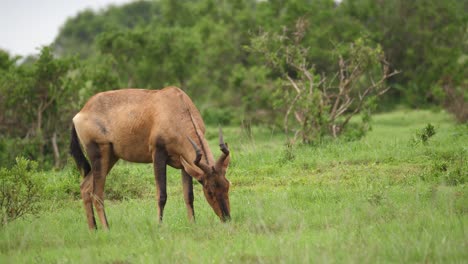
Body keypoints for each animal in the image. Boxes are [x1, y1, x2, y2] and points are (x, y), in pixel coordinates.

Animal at [69, 86, 230, 229]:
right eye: (209, 190)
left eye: (227, 185)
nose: (226, 218)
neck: (175, 105)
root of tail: (80, 113)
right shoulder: (158, 154)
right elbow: (161, 195)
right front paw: (159, 226)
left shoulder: (185, 163)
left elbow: (189, 195)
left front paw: (192, 225)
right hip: (99, 154)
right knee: (97, 193)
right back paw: (106, 229)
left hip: (110, 157)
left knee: (85, 187)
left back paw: (93, 229)